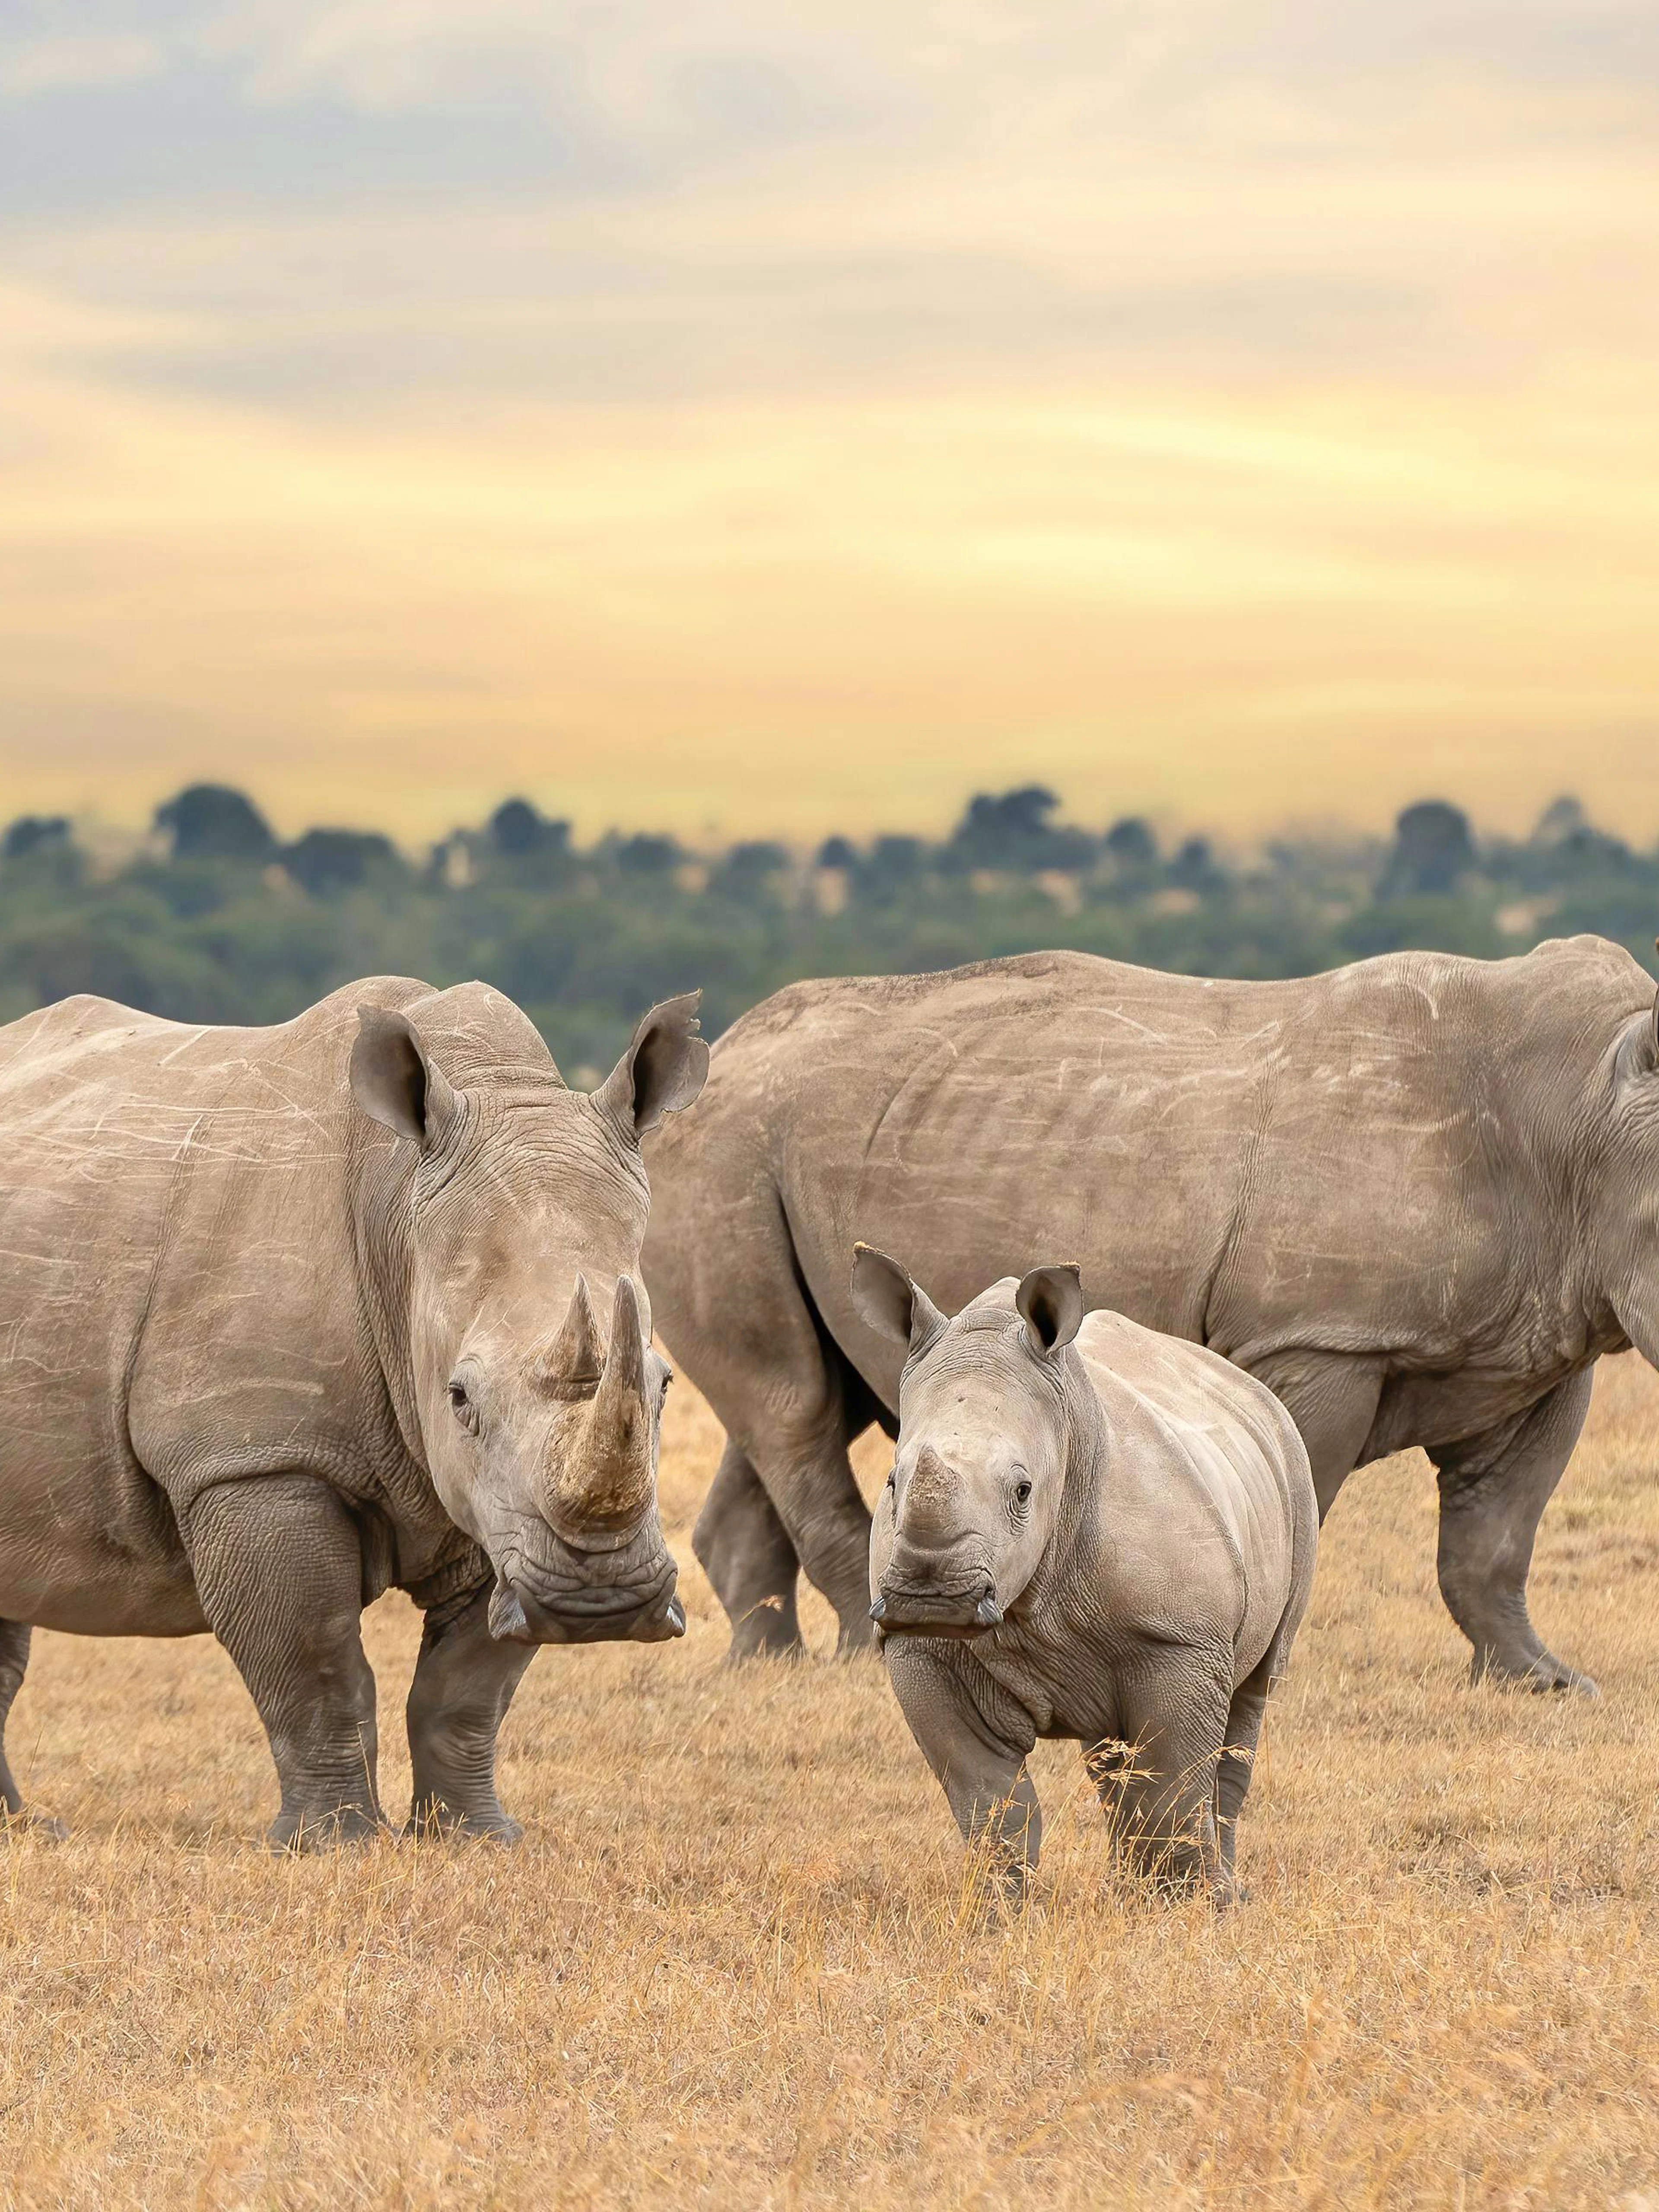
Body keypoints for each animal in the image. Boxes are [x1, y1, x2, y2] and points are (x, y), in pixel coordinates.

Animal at [0, 978, 707, 1848]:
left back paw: (27, 1830)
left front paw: (477, 1840)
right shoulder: (255, 1460)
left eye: (664, 1384)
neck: (397, 1210)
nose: (598, 1600)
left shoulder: (502, 1507)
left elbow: (467, 1690)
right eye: (461, 1399)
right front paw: (331, 1846)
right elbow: (315, 1663)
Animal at [645, 934, 1657, 1690]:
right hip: (726, 1154)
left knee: (815, 1397)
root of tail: (711, 1062)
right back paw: (869, 1657)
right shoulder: (1320, 1340)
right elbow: (1297, 1497)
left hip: (792, 1159)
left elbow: (1496, 1537)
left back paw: (765, 1668)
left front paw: (1545, 1683)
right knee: (793, 1407)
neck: (1580, 1122)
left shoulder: (1542, 1342)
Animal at [852, 1249, 1316, 1902]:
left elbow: (1174, 1788)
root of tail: (1251, 1389)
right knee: (1113, 1757)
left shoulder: (1181, 1638)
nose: (931, 1599)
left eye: (1023, 1491)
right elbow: (989, 1802)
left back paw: (1219, 1892)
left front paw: (1186, 1911)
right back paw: (1128, 1888)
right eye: (893, 1482)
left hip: (1294, 1470)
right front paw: (997, 1912)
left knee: (1250, 1701)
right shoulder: (919, 1650)